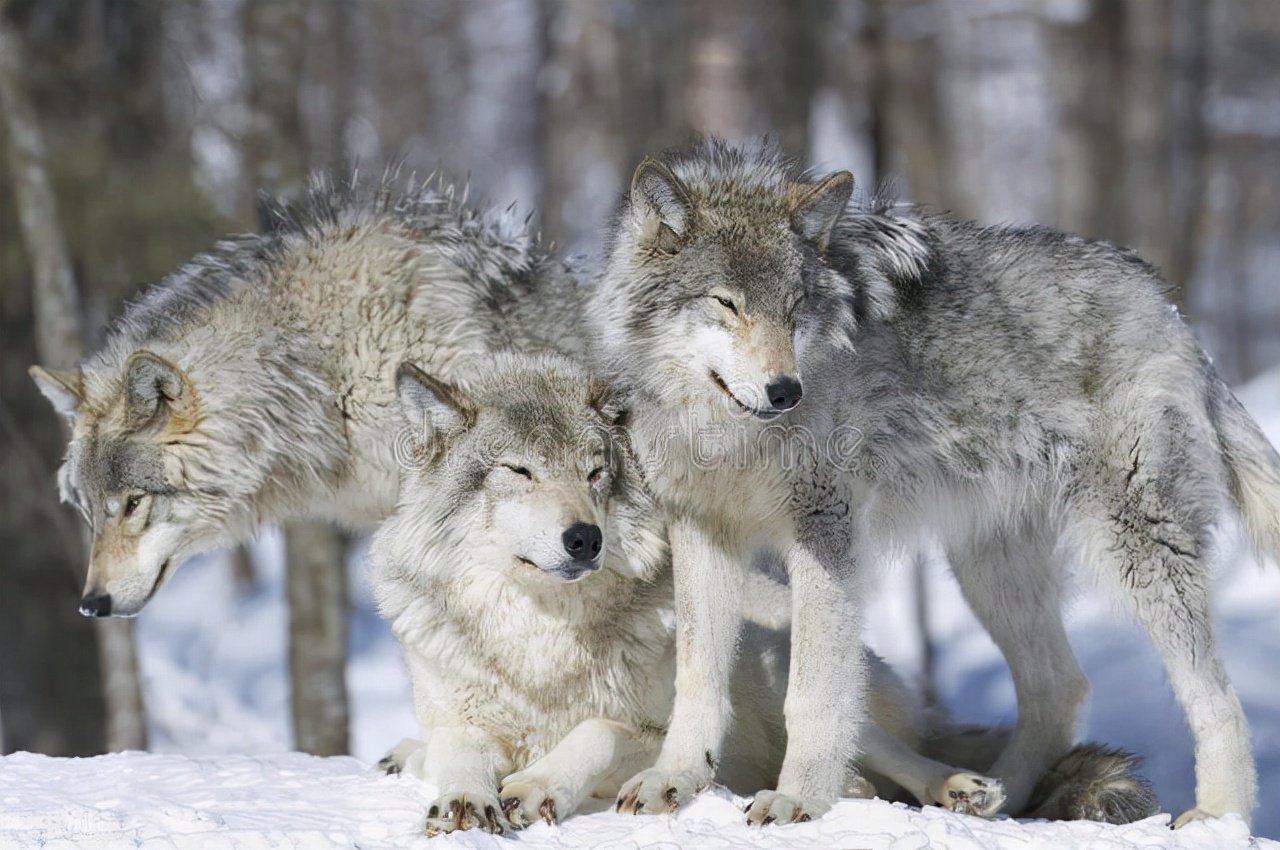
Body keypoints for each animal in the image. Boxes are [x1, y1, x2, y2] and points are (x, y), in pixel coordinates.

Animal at [366, 348, 1157, 834]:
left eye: (595, 473)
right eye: (520, 472)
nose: (584, 538)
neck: (541, 640)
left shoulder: (652, 730)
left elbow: (596, 729)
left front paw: (533, 787)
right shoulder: (458, 719)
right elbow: (459, 756)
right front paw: (465, 798)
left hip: (786, 672)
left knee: (886, 758)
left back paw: (953, 787)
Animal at [588, 137, 1280, 824]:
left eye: (794, 310)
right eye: (726, 304)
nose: (786, 391)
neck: (725, 434)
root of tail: (1169, 305)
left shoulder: (827, 533)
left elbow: (813, 692)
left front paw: (799, 798)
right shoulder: (703, 531)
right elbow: (698, 679)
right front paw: (674, 780)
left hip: (1136, 553)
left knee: (1218, 696)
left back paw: (1219, 815)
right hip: (989, 571)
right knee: (1063, 687)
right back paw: (990, 802)